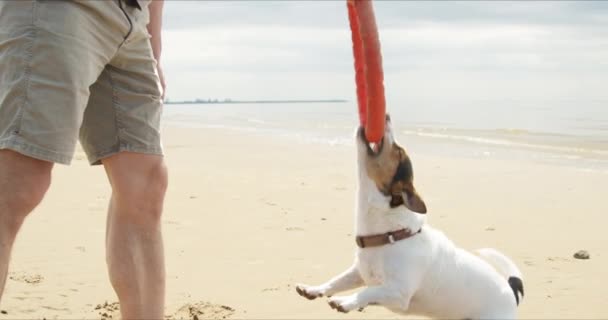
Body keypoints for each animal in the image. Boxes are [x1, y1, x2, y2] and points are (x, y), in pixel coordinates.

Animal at [294, 116, 524, 318]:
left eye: (397, 151)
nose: (386, 115)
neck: (390, 235)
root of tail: (511, 294)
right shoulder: (359, 273)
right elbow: (337, 280)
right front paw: (315, 289)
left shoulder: (398, 293)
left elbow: (368, 291)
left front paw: (347, 301)